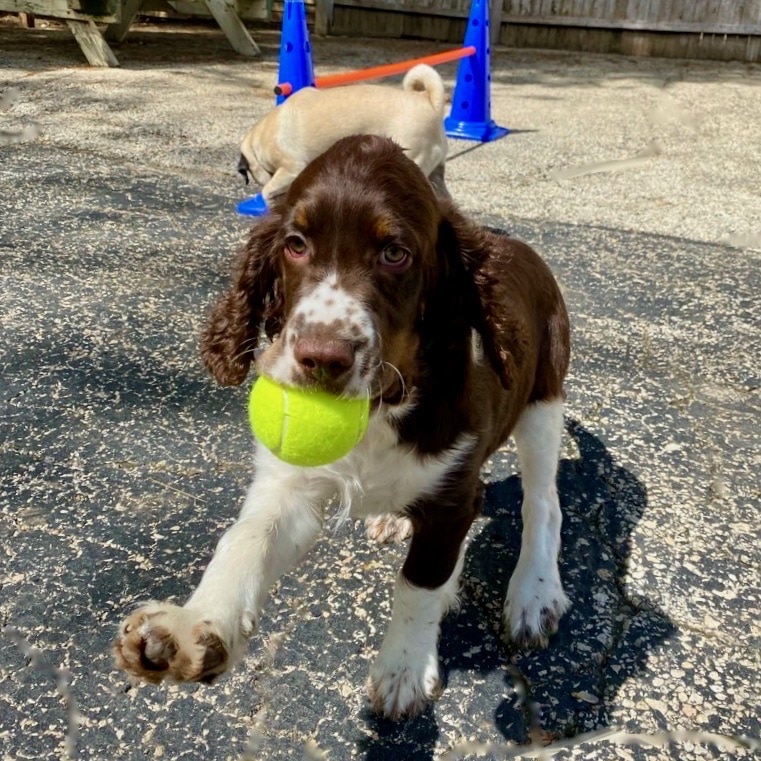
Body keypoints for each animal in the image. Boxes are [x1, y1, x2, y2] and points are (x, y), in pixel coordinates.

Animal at [114, 135, 568, 720]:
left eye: (395, 253)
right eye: (295, 244)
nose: (322, 358)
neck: (381, 408)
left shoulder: (451, 495)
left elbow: (419, 583)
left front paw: (403, 670)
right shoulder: (292, 487)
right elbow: (246, 538)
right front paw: (193, 626)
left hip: (542, 403)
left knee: (542, 502)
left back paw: (534, 593)